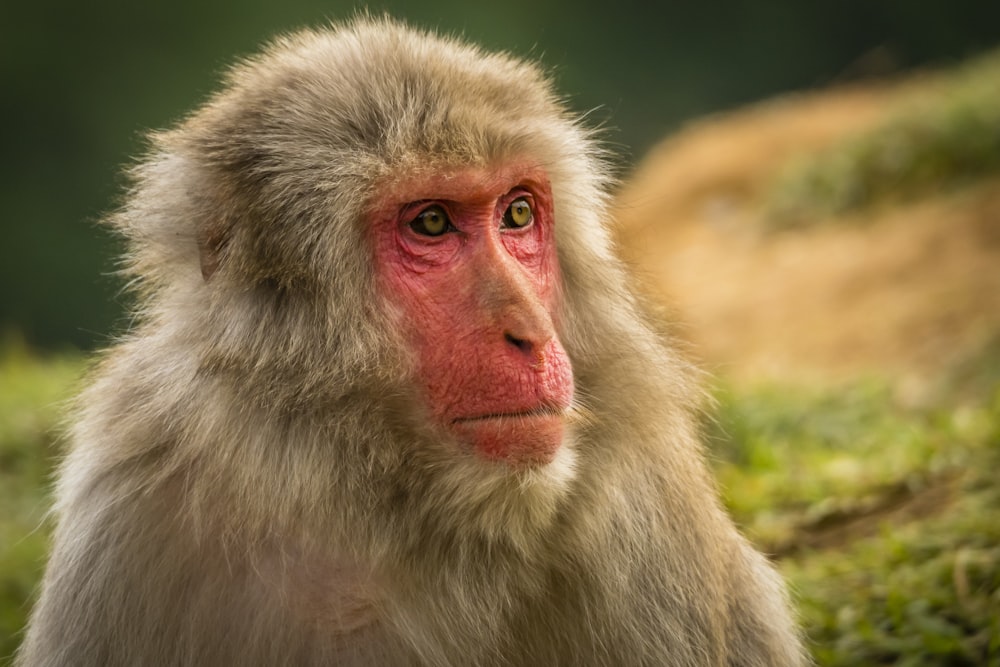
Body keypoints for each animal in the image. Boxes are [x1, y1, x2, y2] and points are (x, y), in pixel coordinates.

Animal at [15, 15, 808, 667]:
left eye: (516, 213)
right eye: (430, 223)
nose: (530, 331)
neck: (377, 494)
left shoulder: (645, 497)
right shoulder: (132, 492)